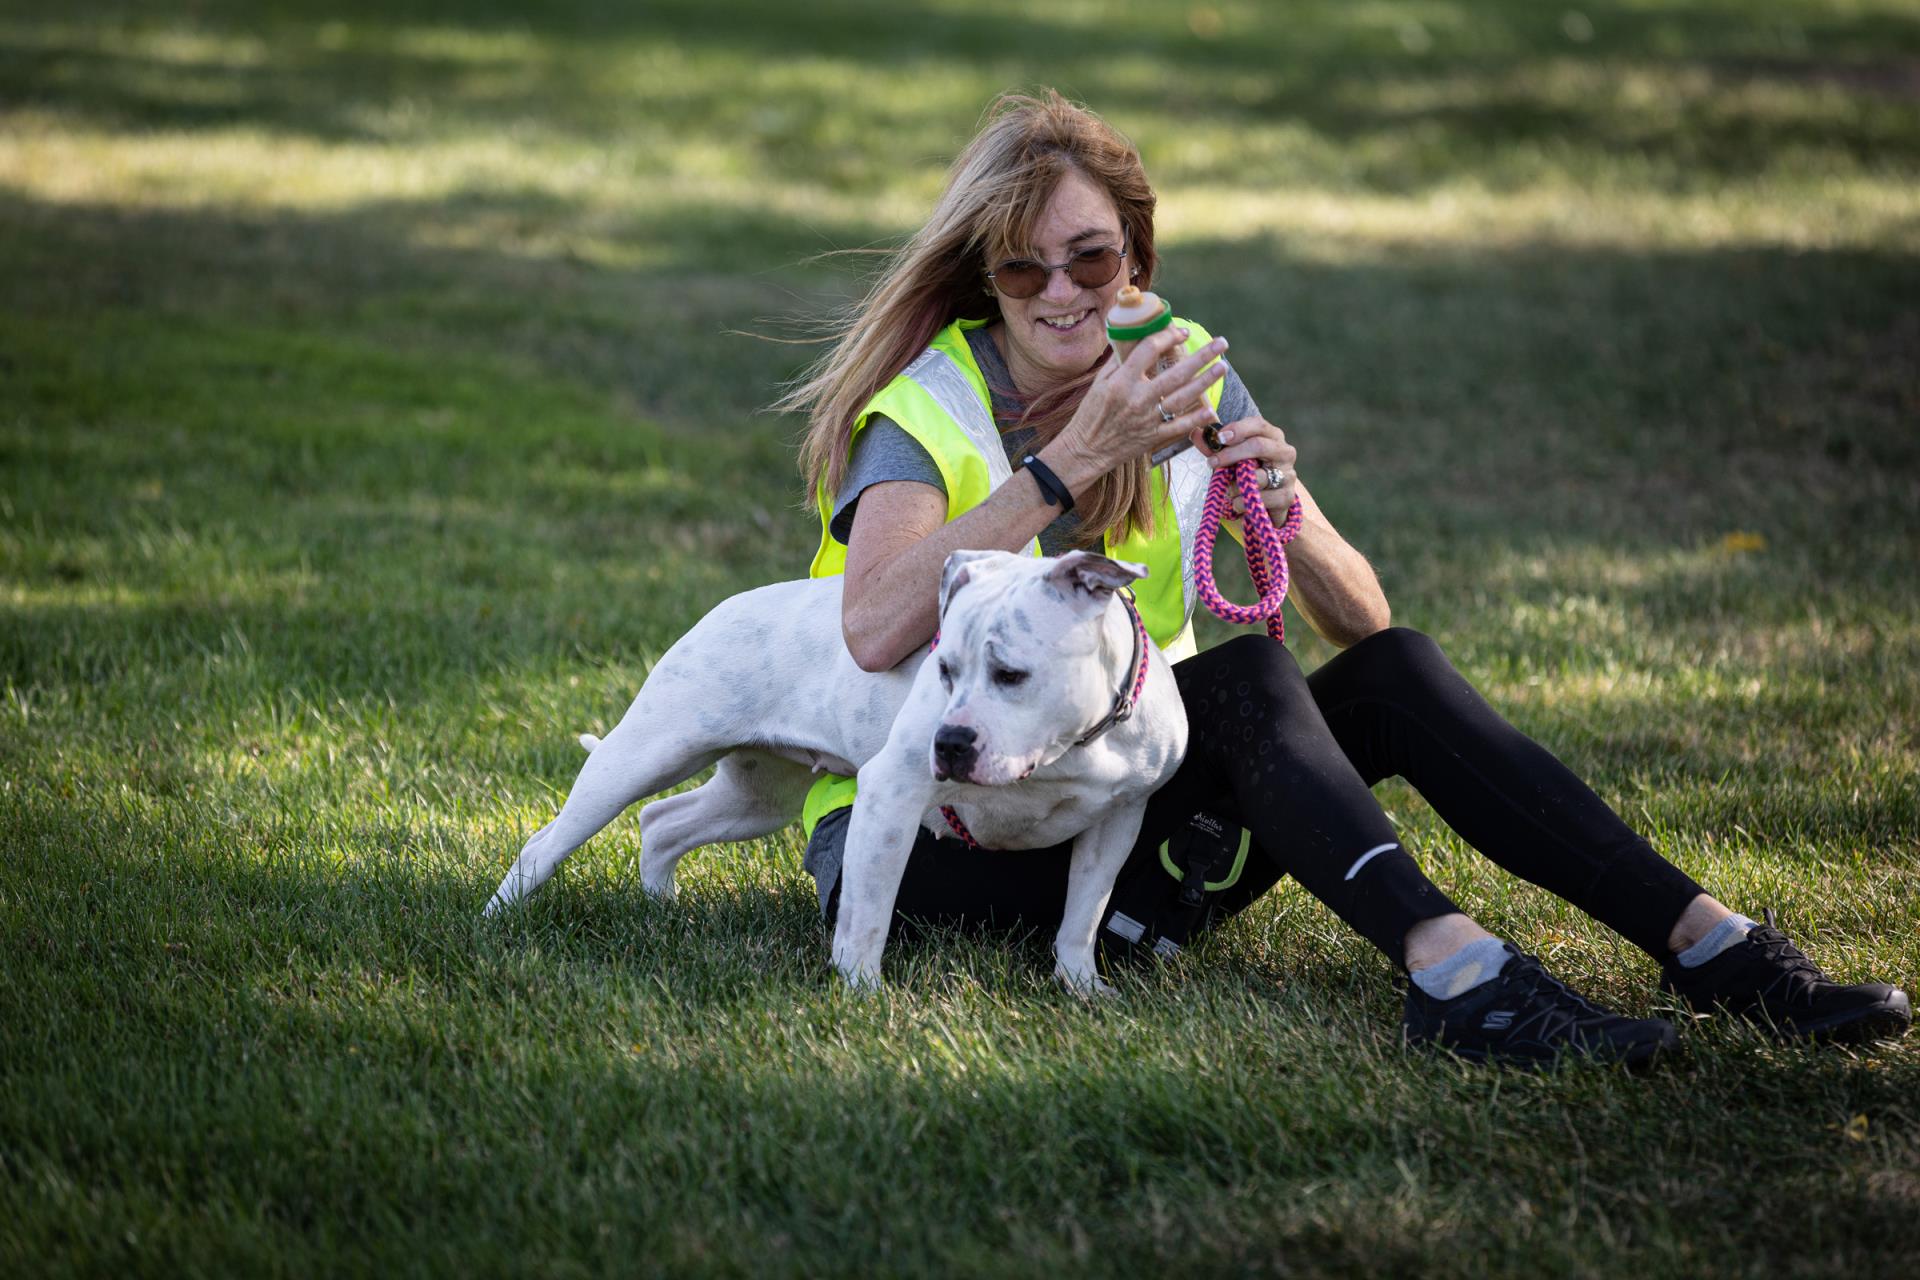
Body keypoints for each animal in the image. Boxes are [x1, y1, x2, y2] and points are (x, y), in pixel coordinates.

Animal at [483, 552, 1182, 990]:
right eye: (944, 669)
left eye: (1011, 674)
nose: (949, 741)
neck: (1073, 744)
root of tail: (721, 608)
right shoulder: (891, 797)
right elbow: (868, 913)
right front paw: (861, 990)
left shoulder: (1119, 821)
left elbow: (1084, 912)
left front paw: (1081, 987)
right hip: (645, 755)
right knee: (551, 840)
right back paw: (496, 921)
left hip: (757, 798)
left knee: (663, 822)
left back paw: (659, 909)